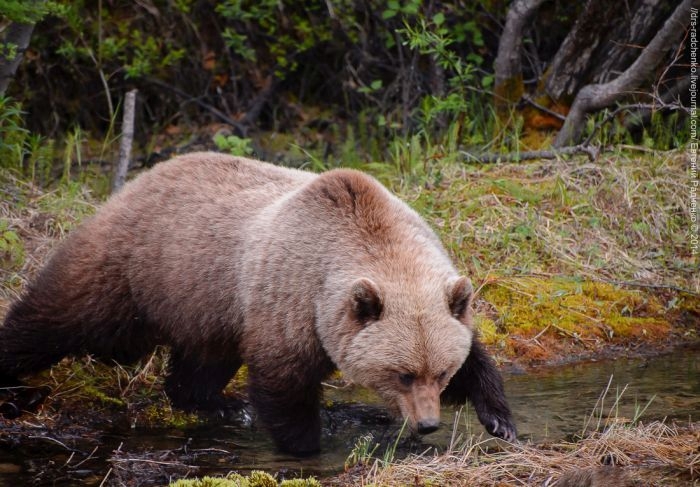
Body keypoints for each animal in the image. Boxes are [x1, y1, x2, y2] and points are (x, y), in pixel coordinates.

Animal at [0, 152, 516, 454]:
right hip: (133, 270)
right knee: (55, 318)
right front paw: (309, 444)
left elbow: (474, 351)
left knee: (200, 364)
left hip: (207, 305)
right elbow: (282, 381)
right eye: (402, 374)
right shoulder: (291, 297)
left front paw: (499, 418)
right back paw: (16, 386)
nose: (427, 423)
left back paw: (217, 403)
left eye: (439, 372)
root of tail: (139, 180)